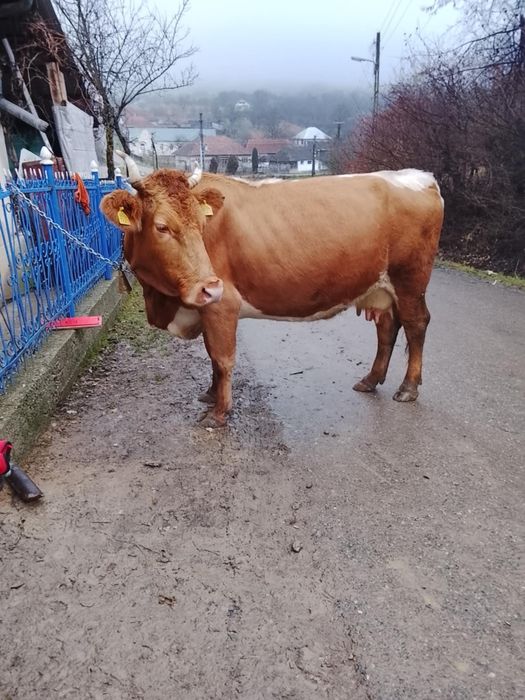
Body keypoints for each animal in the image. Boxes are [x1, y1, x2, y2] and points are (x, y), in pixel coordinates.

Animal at [101, 154, 444, 428]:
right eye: (161, 226)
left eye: (201, 223)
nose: (209, 286)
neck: (163, 301)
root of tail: (420, 177)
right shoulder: (207, 306)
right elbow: (212, 356)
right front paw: (210, 395)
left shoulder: (221, 304)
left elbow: (222, 358)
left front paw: (220, 413)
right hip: (381, 287)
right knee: (387, 327)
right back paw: (371, 380)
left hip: (410, 279)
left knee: (416, 324)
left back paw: (408, 387)